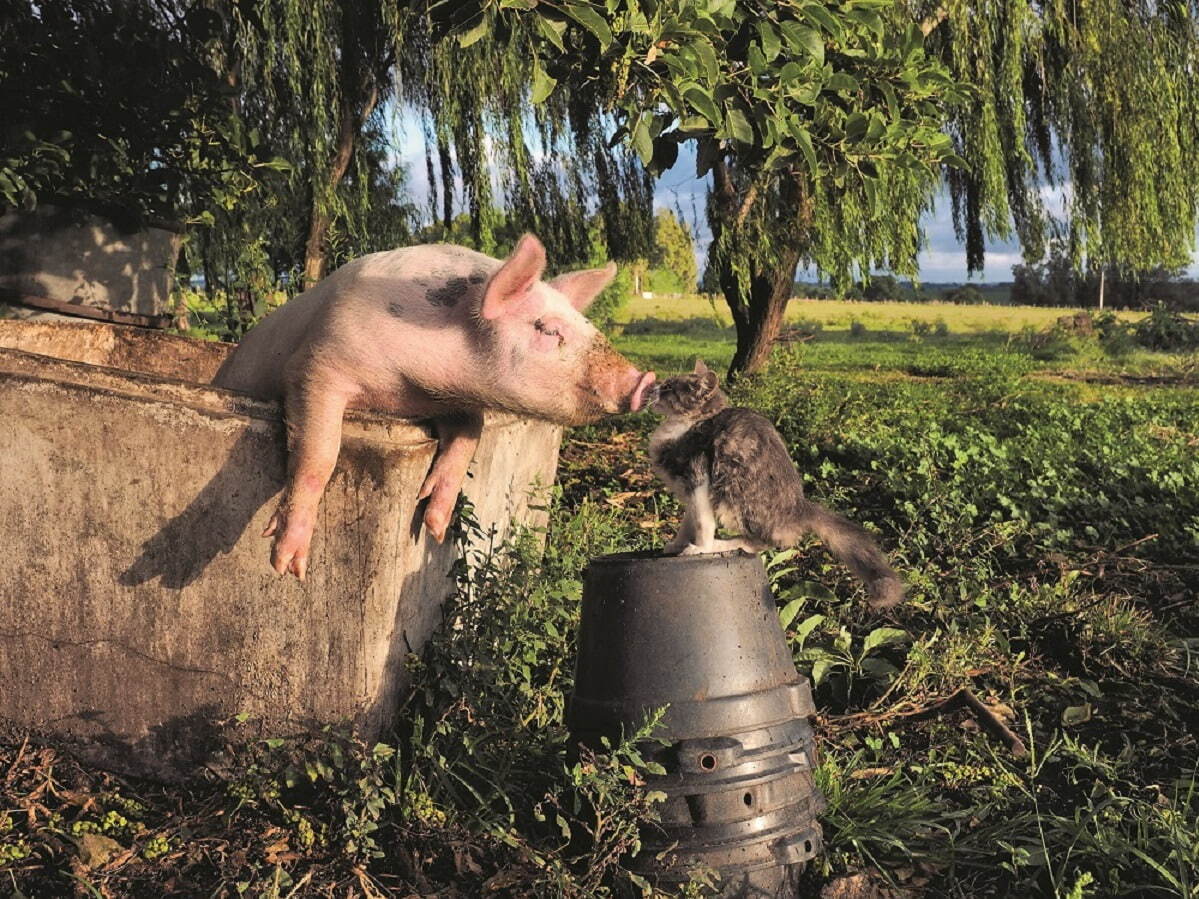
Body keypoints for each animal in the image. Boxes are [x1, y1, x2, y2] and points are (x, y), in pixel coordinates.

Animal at [211, 236, 652, 580]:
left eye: (586, 325)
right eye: (548, 330)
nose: (642, 380)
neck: (405, 388)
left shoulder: (455, 400)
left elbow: (469, 437)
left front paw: (434, 526)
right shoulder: (317, 364)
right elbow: (319, 456)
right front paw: (287, 566)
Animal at [652, 361, 901, 613]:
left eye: (669, 386)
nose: (654, 387)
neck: (687, 425)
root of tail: (800, 507)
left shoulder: (699, 478)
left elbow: (703, 523)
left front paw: (700, 548)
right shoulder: (689, 490)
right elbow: (688, 522)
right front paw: (677, 544)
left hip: (734, 499)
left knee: (760, 542)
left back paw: (724, 544)